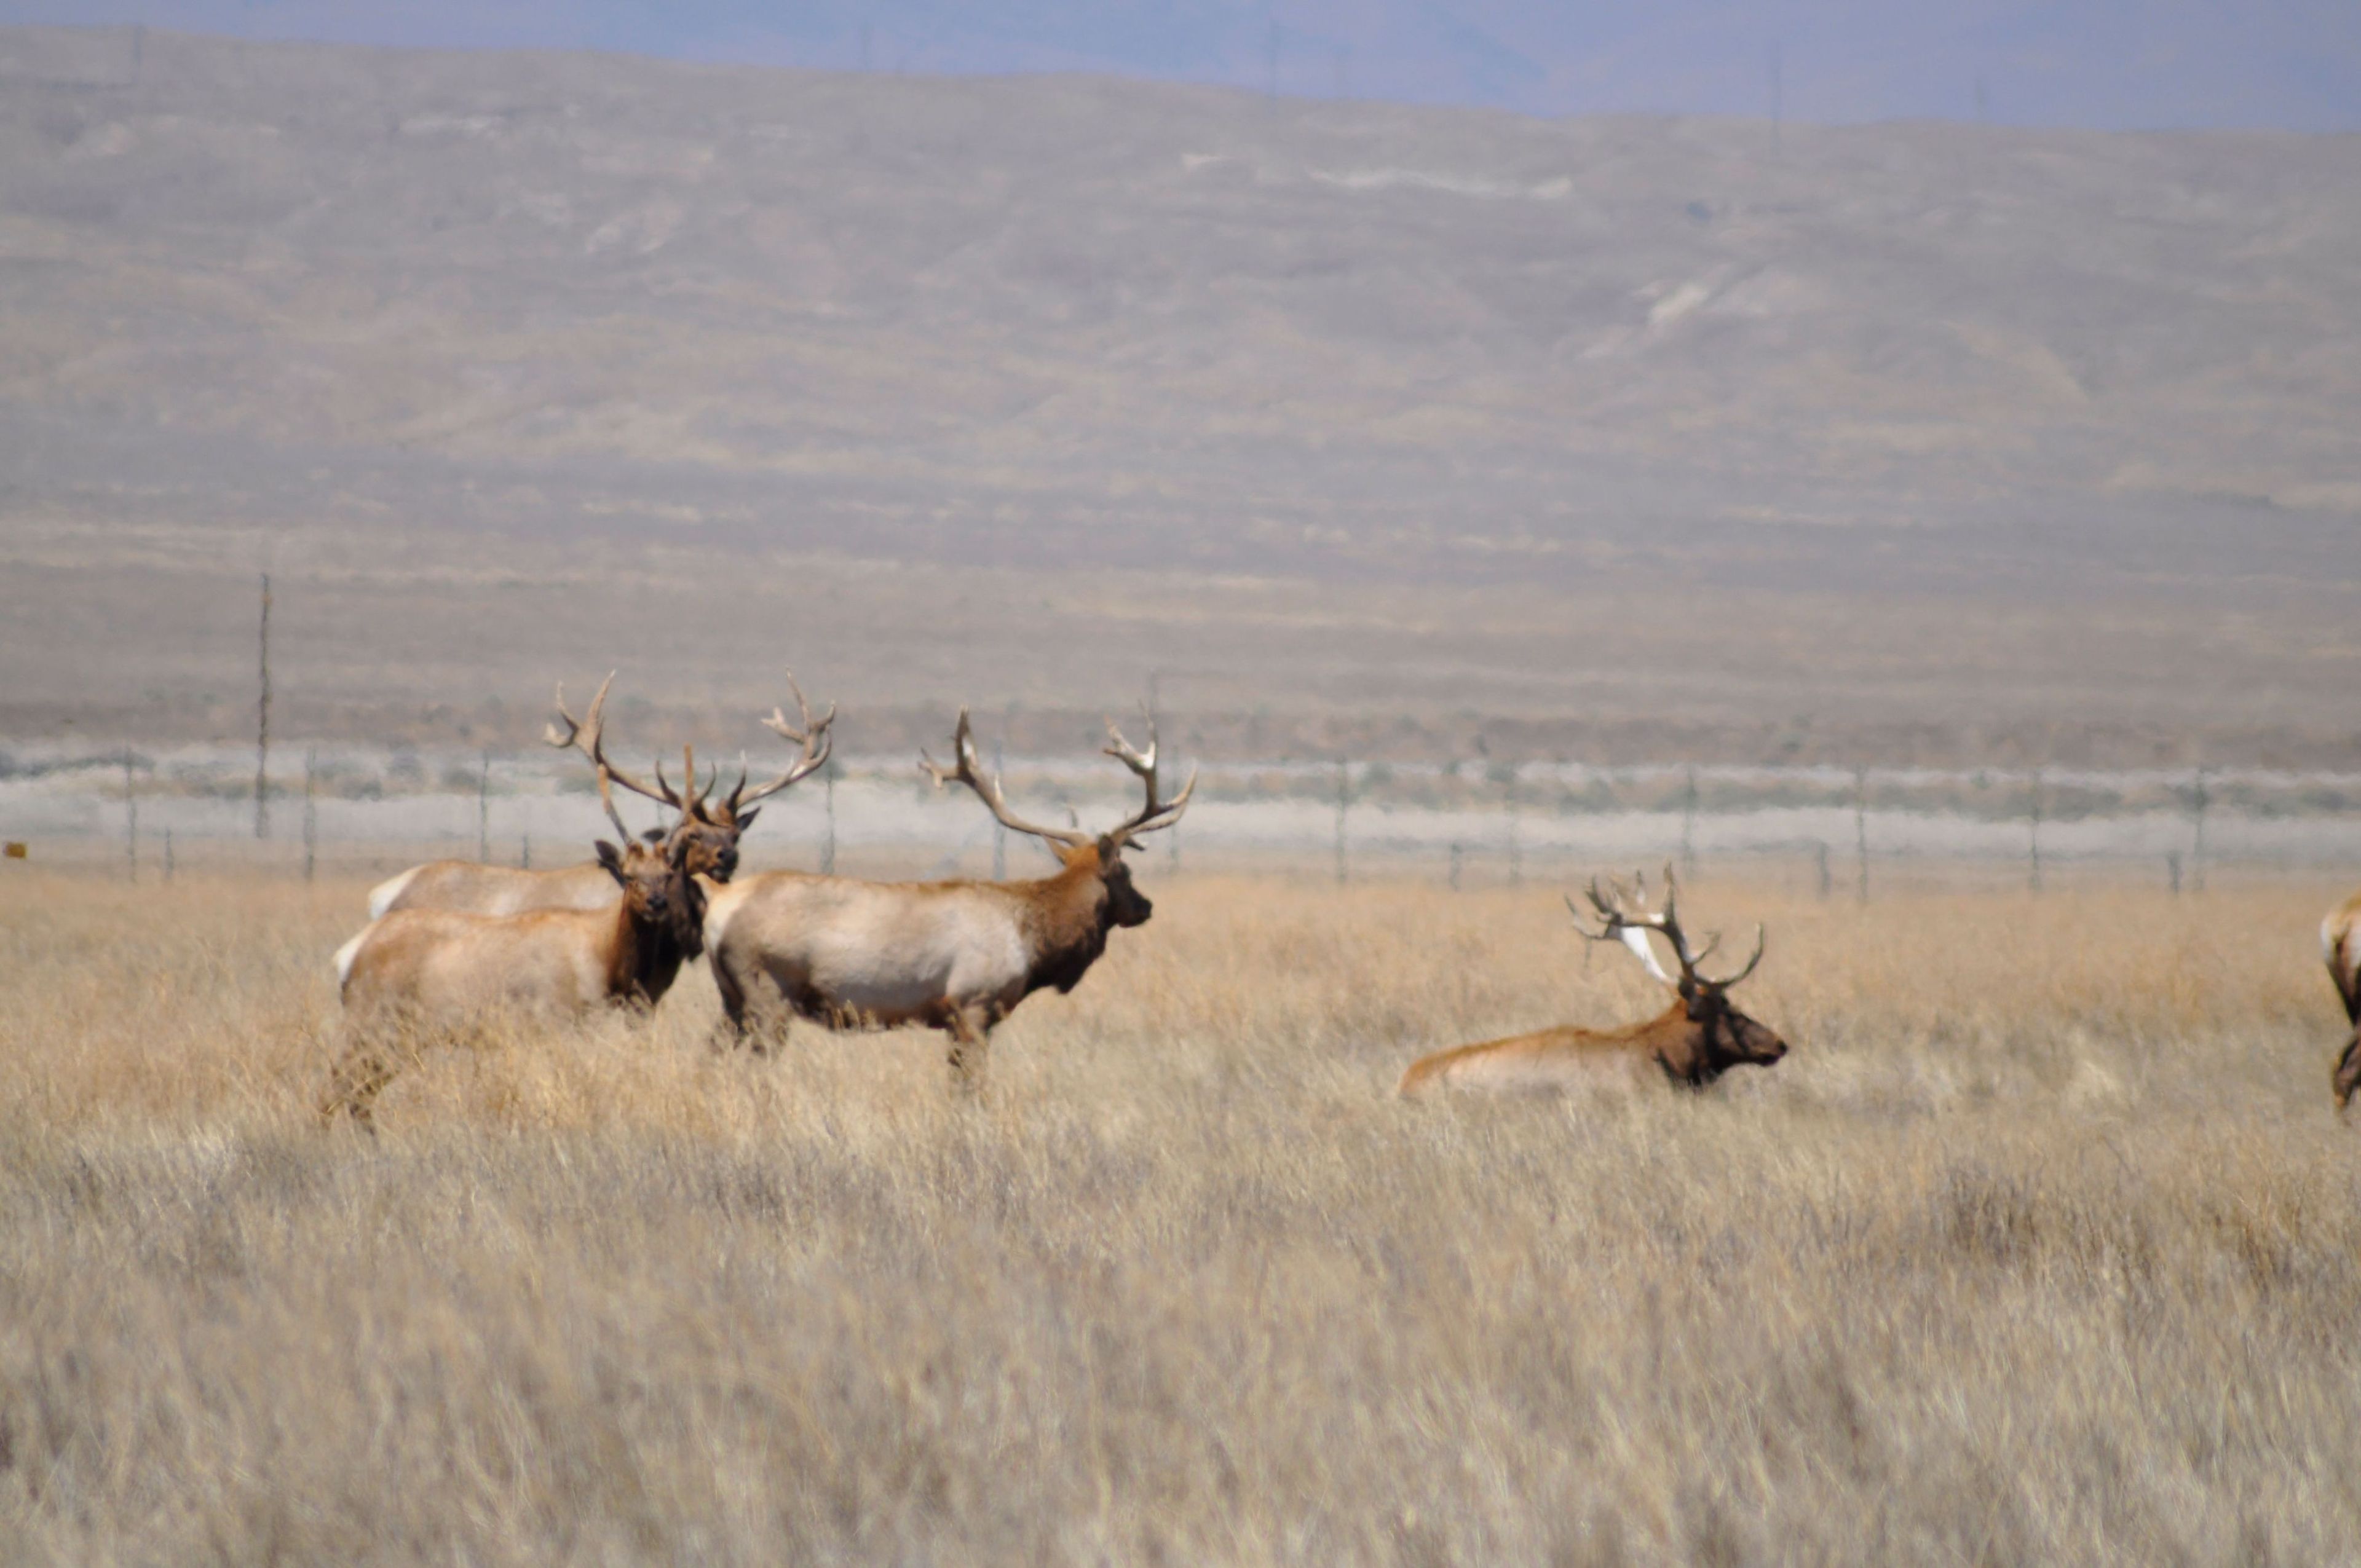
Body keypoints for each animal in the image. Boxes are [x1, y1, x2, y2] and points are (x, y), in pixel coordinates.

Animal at [325, 760, 708, 1119]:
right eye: (629, 876)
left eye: (668, 874)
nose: (656, 903)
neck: (604, 957)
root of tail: (349, 954)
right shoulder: (556, 1020)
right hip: (370, 1024)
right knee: (336, 1087)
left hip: (401, 1038)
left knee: (359, 1094)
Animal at [694, 703, 1180, 1086]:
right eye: (1125, 871)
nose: (1147, 906)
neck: (1032, 938)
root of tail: (718, 903)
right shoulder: (973, 1007)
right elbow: (971, 1089)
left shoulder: (953, 1020)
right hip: (768, 997)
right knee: (753, 1072)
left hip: (731, 1000)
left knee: (710, 1058)